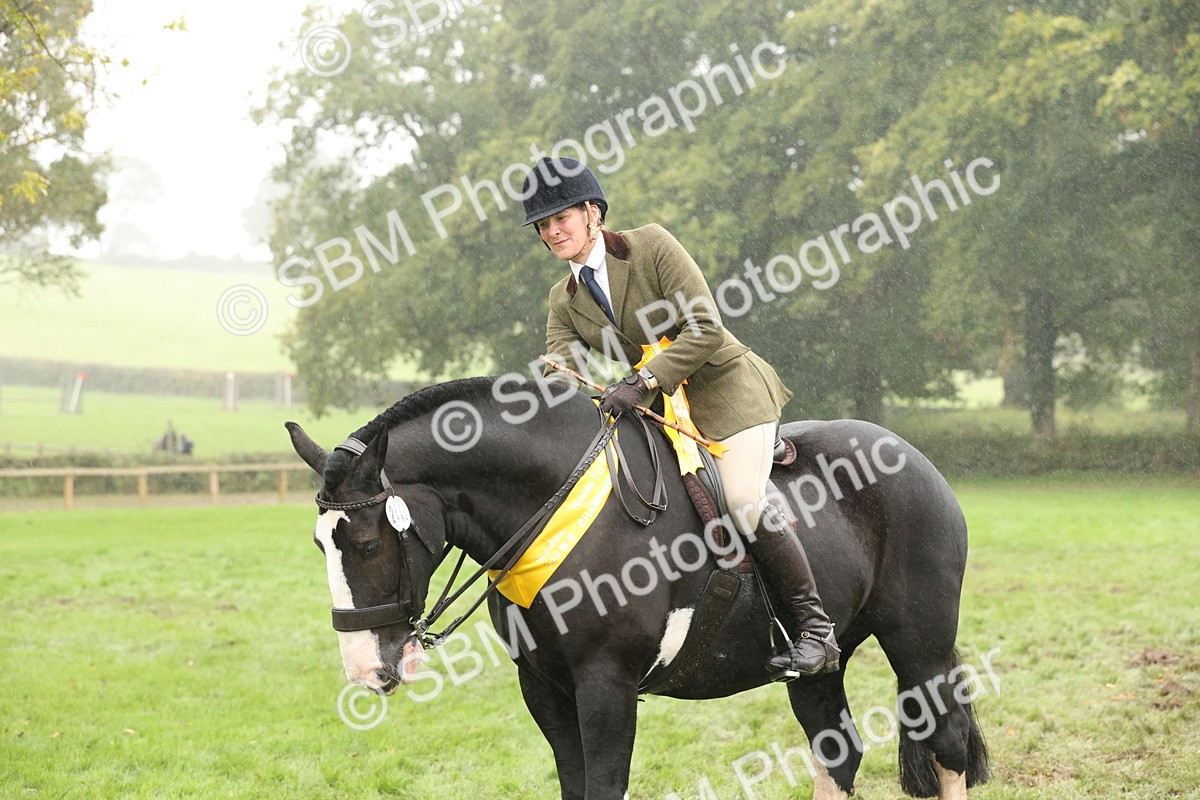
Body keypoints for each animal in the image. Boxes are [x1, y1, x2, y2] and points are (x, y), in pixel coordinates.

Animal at [286, 376, 990, 800]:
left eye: (367, 543)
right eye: (319, 545)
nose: (364, 669)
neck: (554, 504)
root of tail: (913, 457)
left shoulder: (607, 686)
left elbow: (604, 786)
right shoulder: (544, 688)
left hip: (920, 645)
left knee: (948, 745)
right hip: (820, 665)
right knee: (837, 753)